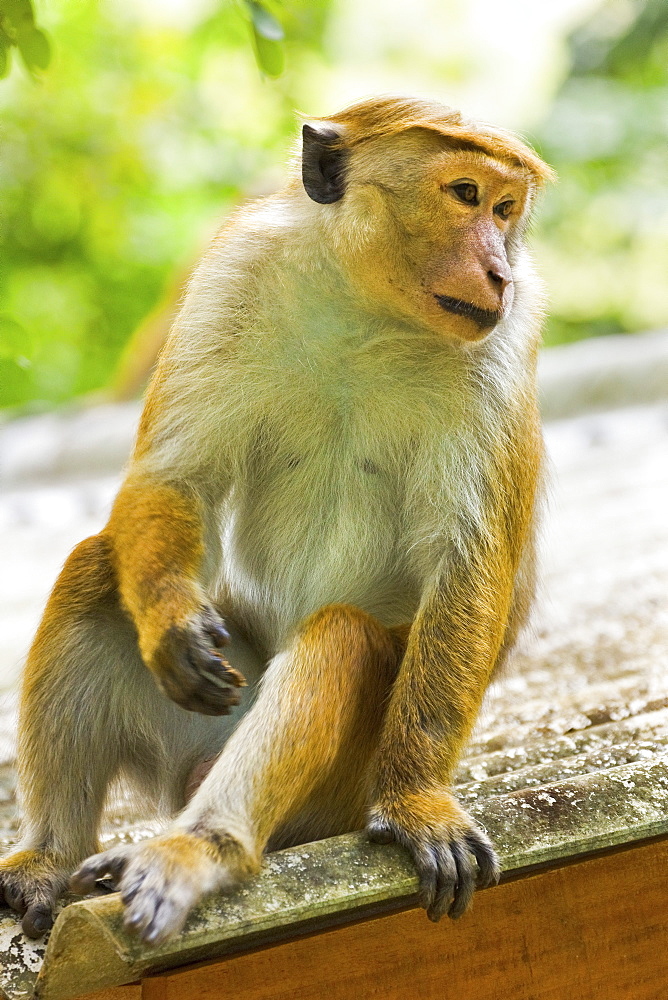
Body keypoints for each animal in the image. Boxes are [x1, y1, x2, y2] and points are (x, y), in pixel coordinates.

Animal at [0, 99, 552, 944]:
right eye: (465, 194)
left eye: (505, 210)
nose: (500, 271)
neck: (367, 311)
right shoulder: (234, 276)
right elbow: (176, 475)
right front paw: (170, 624)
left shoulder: (500, 351)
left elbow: (467, 567)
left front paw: (418, 803)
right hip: (206, 717)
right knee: (97, 564)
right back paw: (50, 858)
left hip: (338, 788)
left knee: (341, 641)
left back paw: (198, 851)